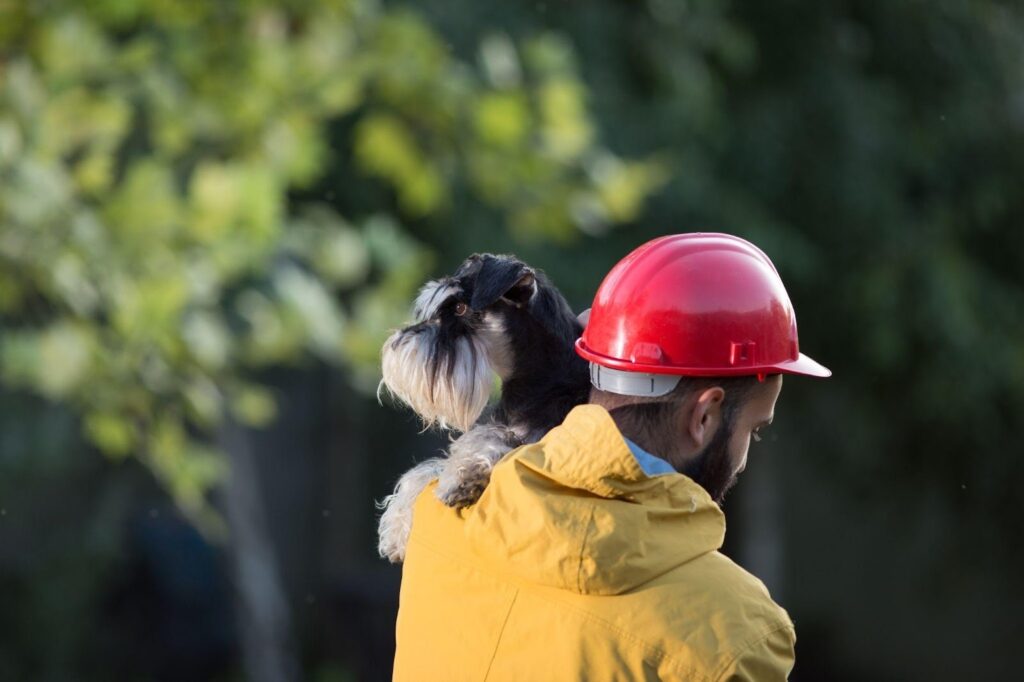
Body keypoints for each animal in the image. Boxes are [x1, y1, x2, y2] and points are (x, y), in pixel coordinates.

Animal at [376, 251, 589, 561]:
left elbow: (494, 440)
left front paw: (465, 477)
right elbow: (427, 470)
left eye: (460, 307)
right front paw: (396, 525)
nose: (396, 344)